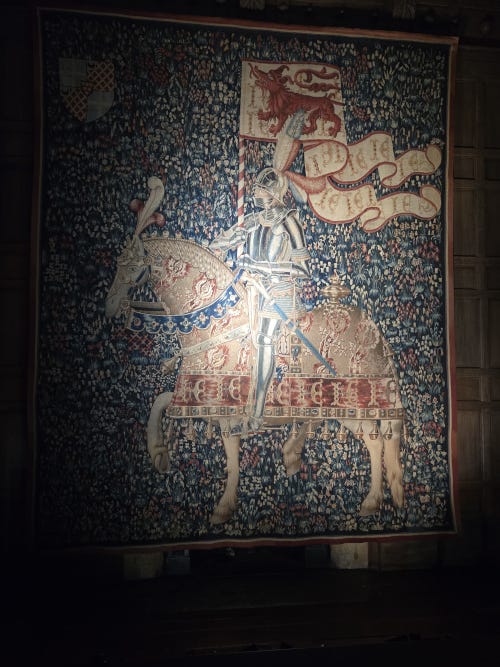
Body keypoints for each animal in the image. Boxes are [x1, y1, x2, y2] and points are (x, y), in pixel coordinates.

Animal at [105, 178, 405, 526]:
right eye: (117, 264)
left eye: (132, 267)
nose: (109, 306)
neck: (216, 322)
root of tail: (374, 332)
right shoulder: (193, 394)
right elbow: (159, 403)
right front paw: (158, 454)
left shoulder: (226, 404)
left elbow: (231, 456)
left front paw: (224, 505)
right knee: (375, 438)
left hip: (353, 397)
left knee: (374, 440)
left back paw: (369, 500)